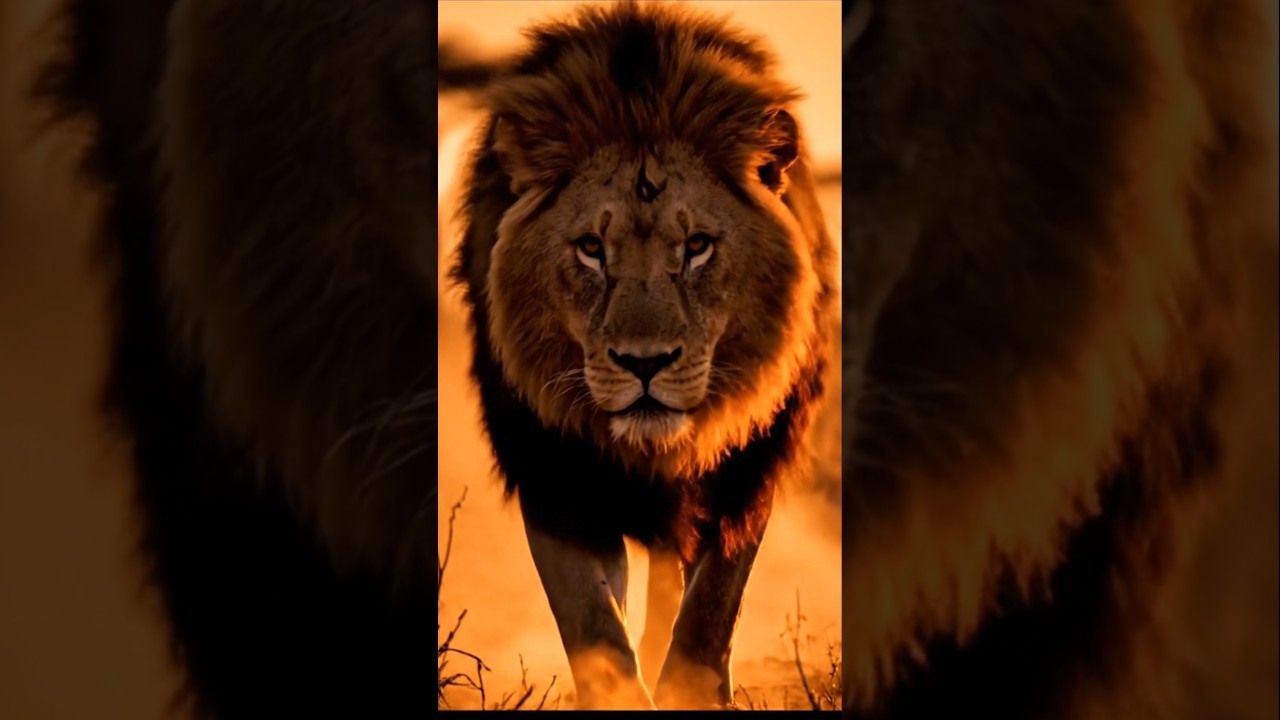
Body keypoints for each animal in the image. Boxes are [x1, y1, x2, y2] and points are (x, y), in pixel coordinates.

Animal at [449, 1, 837, 710]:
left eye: (699, 246)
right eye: (591, 249)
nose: (645, 364)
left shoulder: (745, 474)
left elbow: (711, 608)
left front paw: (691, 688)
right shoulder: (554, 474)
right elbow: (593, 623)